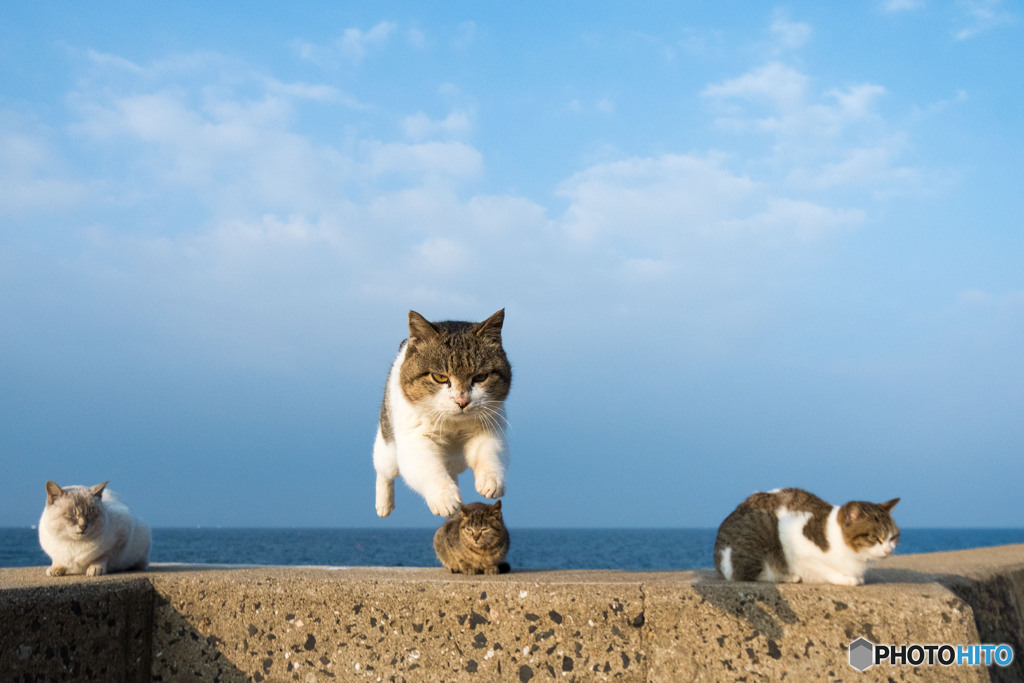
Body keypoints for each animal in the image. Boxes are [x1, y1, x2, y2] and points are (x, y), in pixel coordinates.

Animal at [372, 309, 512, 518]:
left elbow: (488, 453)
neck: (453, 425)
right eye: (439, 377)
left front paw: (491, 480)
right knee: (383, 471)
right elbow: (430, 469)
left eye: (480, 377)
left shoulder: (489, 428)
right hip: (388, 451)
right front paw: (444, 497)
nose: (462, 401)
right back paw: (383, 505)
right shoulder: (415, 442)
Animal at [716, 485, 901, 589]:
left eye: (893, 537)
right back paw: (788, 577)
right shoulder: (794, 540)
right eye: (876, 538)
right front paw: (846, 579)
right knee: (745, 573)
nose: (888, 550)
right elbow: (823, 567)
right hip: (760, 532)